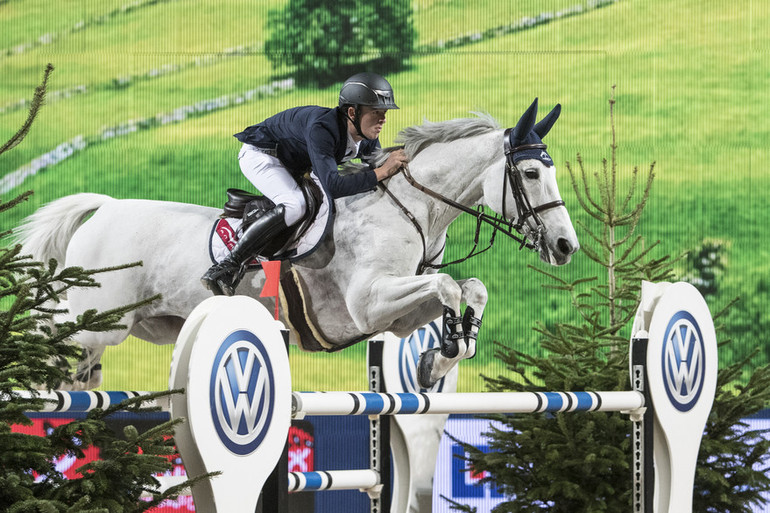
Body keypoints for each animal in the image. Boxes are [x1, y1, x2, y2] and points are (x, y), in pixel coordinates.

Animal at [16, 99, 576, 388]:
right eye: (530, 173)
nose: (567, 246)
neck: (411, 209)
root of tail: (106, 206)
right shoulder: (367, 304)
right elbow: (448, 287)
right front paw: (447, 347)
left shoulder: (392, 315)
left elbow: (469, 288)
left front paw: (441, 358)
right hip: (100, 320)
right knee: (55, 331)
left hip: (140, 326)